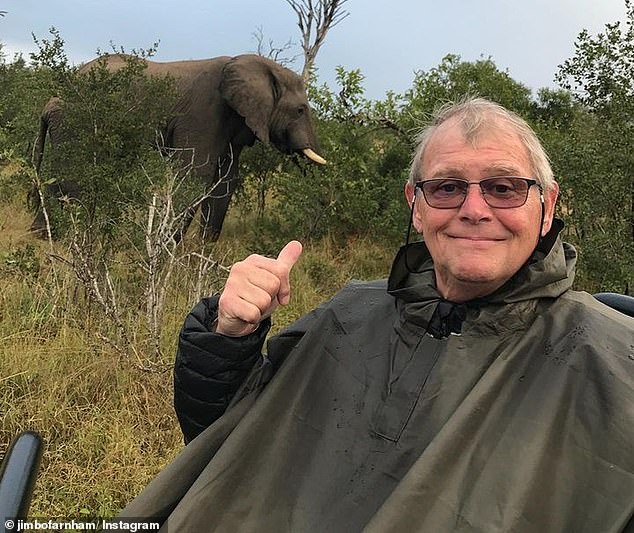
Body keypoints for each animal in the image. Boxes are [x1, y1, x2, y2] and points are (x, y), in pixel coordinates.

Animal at [31, 53, 324, 240]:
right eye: (300, 110)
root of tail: (48, 103)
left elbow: (226, 179)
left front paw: (201, 252)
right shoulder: (204, 114)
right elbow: (196, 173)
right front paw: (167, 247)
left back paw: (42, 234)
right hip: (72, 120)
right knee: (72, 174)